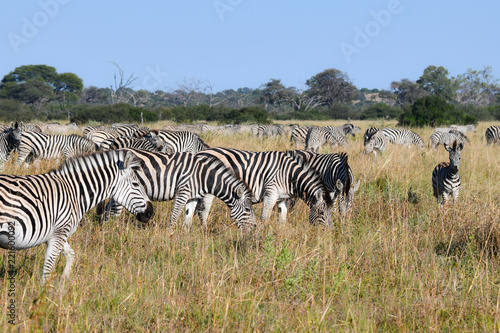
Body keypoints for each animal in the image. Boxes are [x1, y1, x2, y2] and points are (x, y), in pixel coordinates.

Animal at [0, 149, 152, 282]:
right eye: (135, 184)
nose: (151, 212)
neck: (75, 192)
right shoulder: (60, 232)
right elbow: (48, 268)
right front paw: (45, 293)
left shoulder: (56, 233)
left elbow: (71, 255)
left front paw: (63, 282)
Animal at [99, 149, 256, 230]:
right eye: (248, 210)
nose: (254, 227)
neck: (202, 176)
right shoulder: (183, 191)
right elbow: (174, 217)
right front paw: (169, 236)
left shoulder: (193, 197)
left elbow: (188, 218)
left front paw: (185, 238)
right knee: (113, 212)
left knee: (108, 210)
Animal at [197, 148, 334, 226]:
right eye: (321, 213)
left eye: (331, 213)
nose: (326, 233)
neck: (289, 175)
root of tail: (200, 152)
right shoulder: (270, 193)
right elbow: (264, 218)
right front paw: (263, 238)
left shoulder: (282, 198)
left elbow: (282, 218)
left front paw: (280, 237)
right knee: (203, 212)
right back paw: (205, 233)